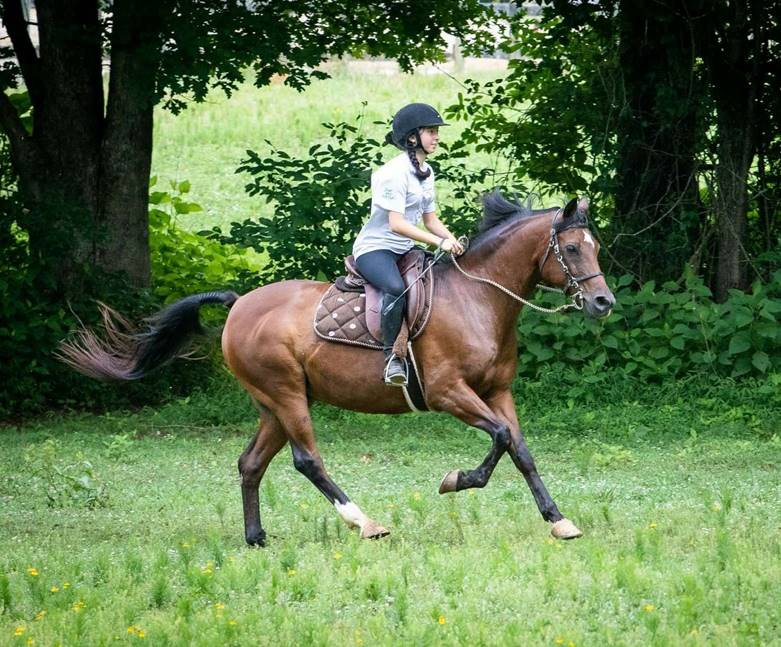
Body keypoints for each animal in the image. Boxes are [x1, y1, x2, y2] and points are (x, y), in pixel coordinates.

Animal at [59, 191, 615, 545]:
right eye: (571, 249)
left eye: (594, 248)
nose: (603, 302)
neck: (478, 298)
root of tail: (239, 305)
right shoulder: (448, 392)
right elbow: (499, 439)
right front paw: (454, 480)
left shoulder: (497, 391)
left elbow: (520, 450)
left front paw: (559, 521)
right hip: (285, 395)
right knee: (308, 461)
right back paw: (364, 523)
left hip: (275, 404)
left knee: (250, 463)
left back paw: (256, 538)